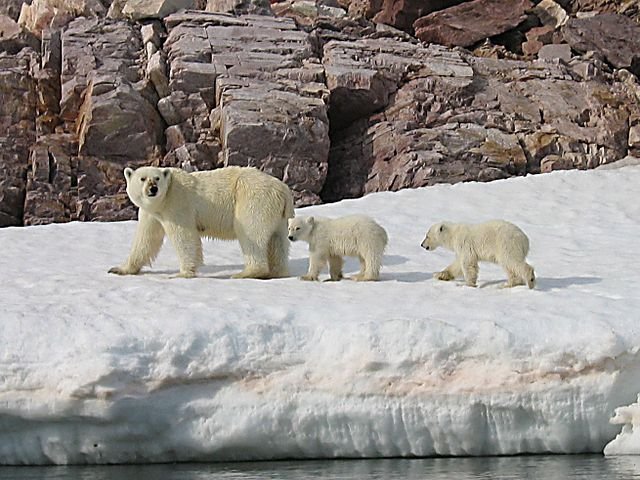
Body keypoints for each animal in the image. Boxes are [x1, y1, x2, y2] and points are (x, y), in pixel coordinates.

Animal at [109, 165, 296, 278]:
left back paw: (246, 273)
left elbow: (184, 236)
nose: (153, 189)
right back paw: (278, 272)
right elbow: (146, 240)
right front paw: (118, 269)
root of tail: (284, 190)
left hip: (253, 199)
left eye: (157, 178)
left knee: (251, 233)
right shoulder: (152, 213)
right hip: (278, 216)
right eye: (142, 178)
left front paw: (182, 273)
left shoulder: (177, 203)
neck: (163, 200)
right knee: (277, 242)